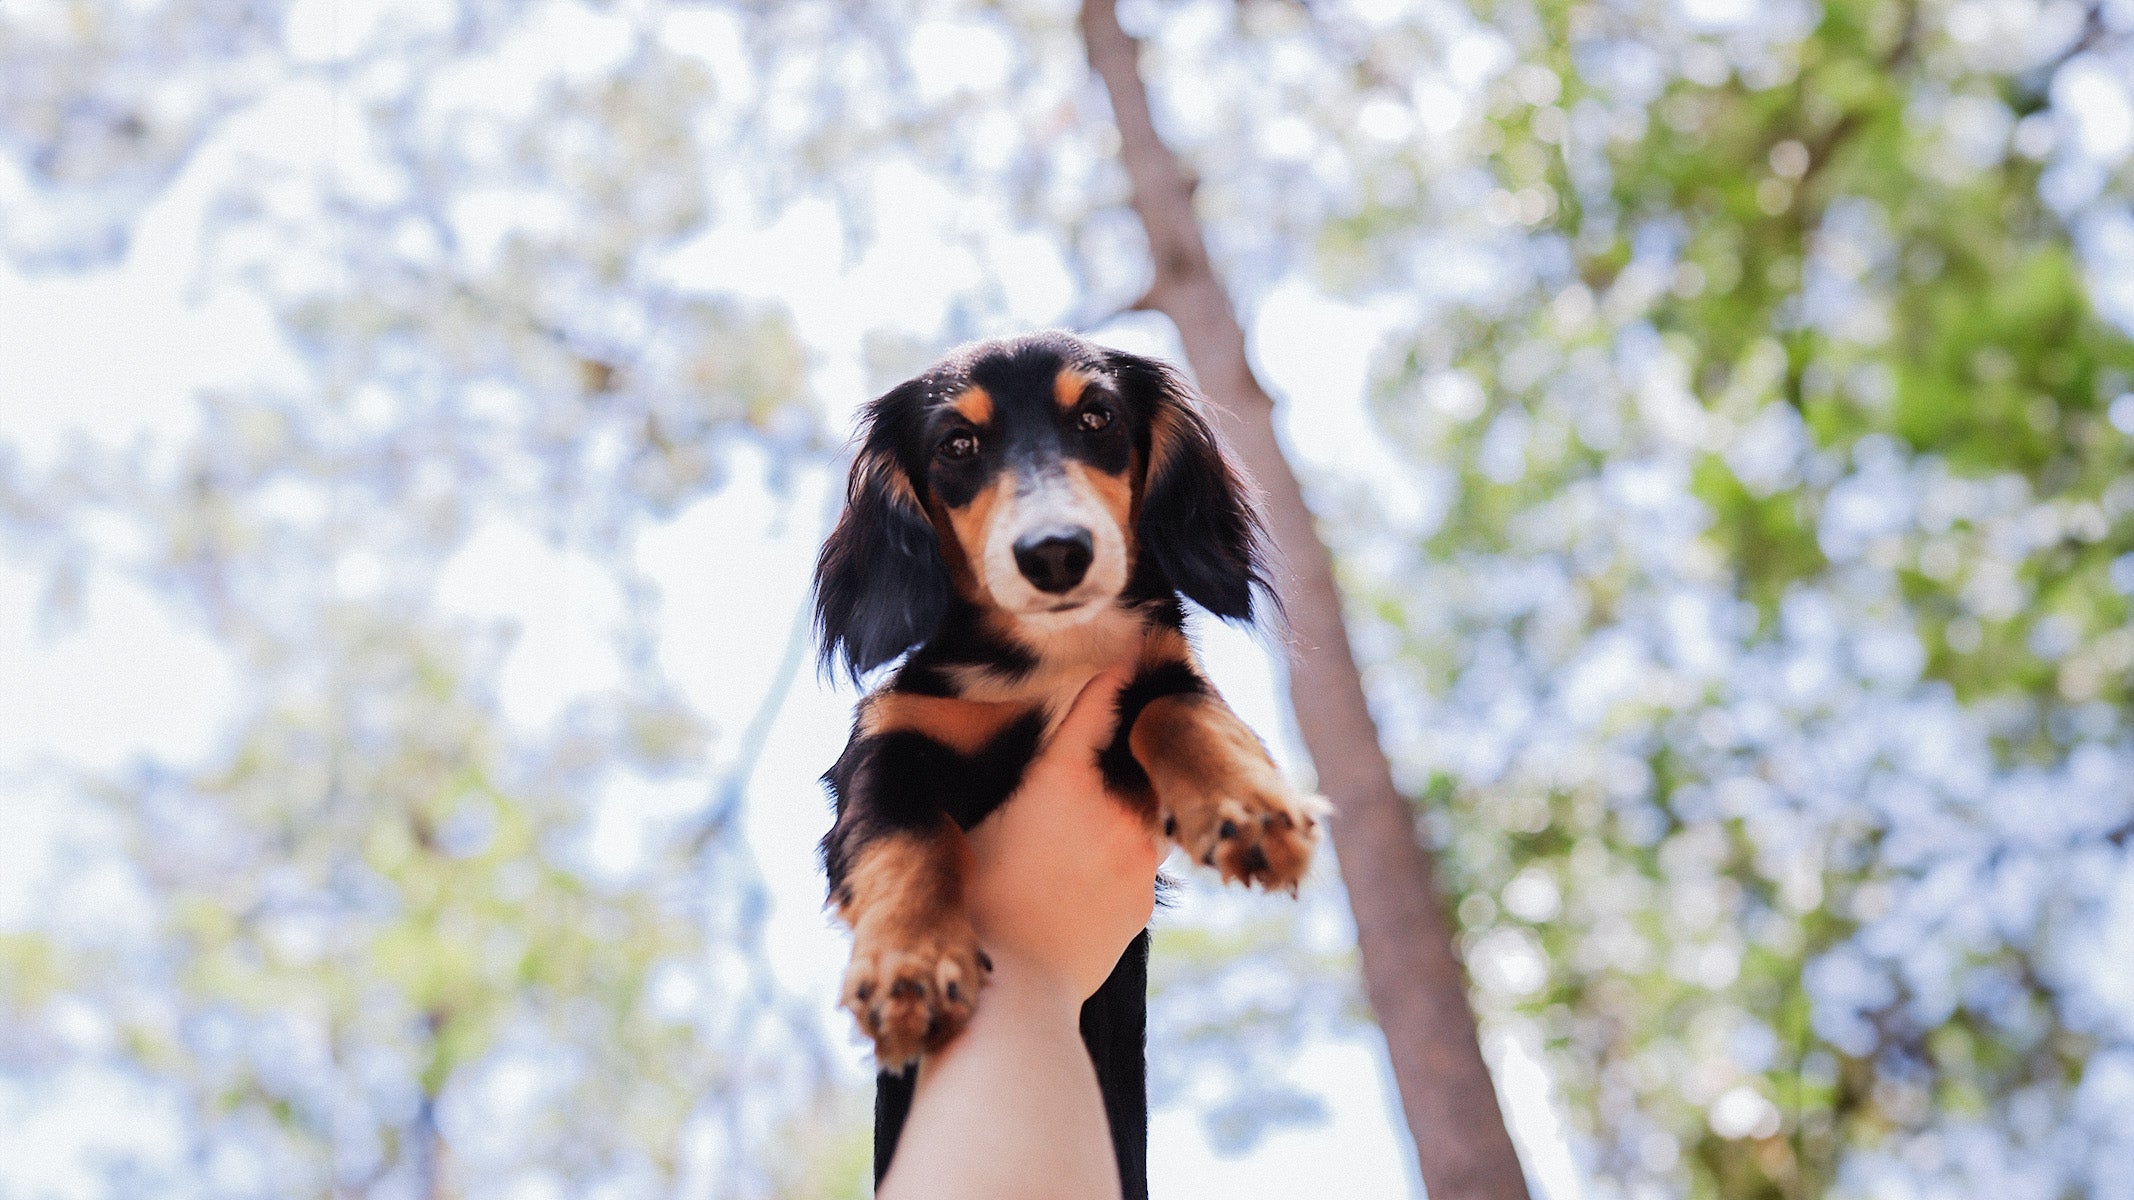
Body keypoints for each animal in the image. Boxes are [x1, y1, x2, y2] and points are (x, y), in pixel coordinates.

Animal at [810, 328, 1314, 1187]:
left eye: (1097, 417)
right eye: (957, 444)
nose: (1054, 554)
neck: (1053, 654)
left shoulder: (1157, 677)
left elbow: (1180, 714)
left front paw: (1249, 807)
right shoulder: (883, 743)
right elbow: (910, 837)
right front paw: (910, 964)